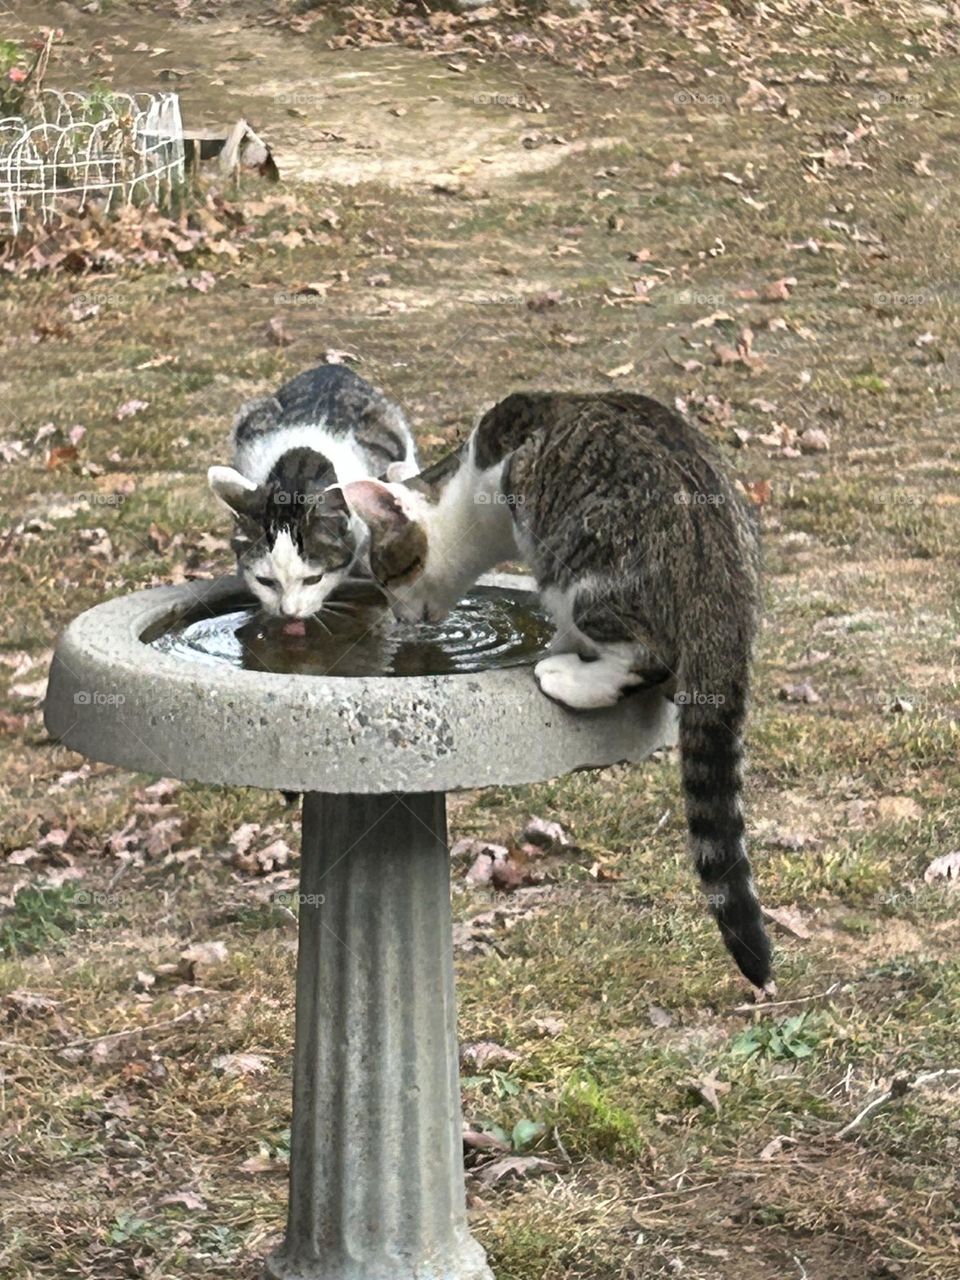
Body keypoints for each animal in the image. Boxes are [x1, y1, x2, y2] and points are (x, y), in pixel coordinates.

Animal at [343, 389, 773, 988]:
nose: (398, 619)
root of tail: (725, 595)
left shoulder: (515, 482)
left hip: (592, 571)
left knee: (645, 657)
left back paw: (567, 676)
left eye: (384, 577)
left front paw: (556, 650)